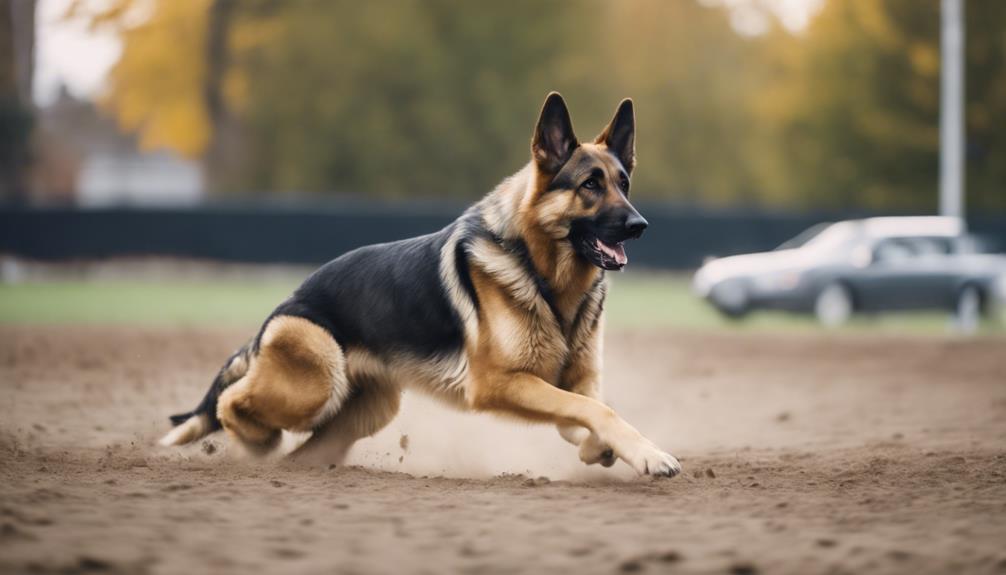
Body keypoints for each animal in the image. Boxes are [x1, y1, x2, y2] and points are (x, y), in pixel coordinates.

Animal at [160, 94, 684, 478]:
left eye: (623, 183)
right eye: (590, 185)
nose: (640, 225)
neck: (544, 277)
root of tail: (281, 309)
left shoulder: (577, 380)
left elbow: (590, 409)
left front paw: (599, 450)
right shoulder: (500, 383)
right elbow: (597, 411)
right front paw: (648, 454)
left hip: (369, 411)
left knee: (300, 452)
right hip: (317, 379)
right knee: (231, 400)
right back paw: (253, 442)